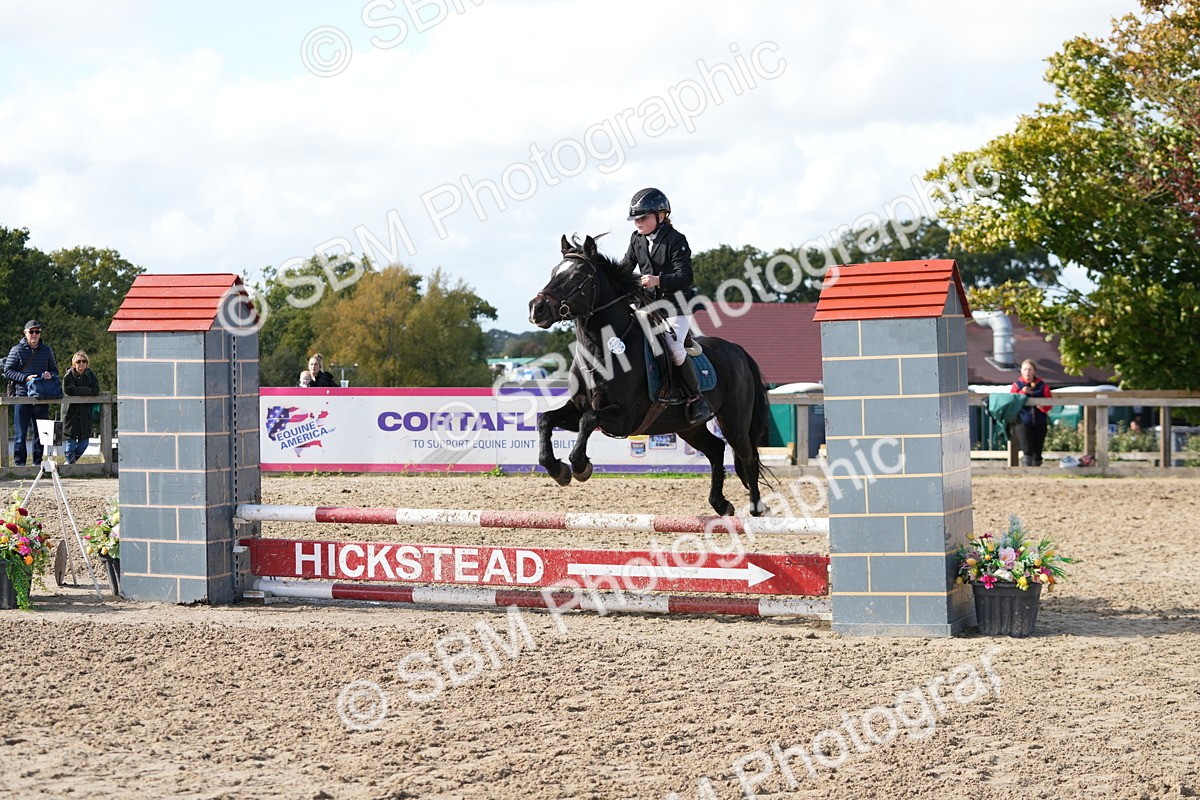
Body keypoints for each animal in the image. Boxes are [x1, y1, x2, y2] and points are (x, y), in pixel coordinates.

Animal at [527, 234, 772, 517]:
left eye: (578, 276)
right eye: (554, 272)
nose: (537, 309)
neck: (601, 351)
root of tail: (736, 350)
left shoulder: (623, 417)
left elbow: (588, 421)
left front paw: (580, 467)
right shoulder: (577, 408)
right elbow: (546, 420)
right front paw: (558, 470)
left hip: (733, 421)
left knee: (747, 457)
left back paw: (757, 508)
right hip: (688, 426)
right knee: (715, 449)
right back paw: (720, 504)